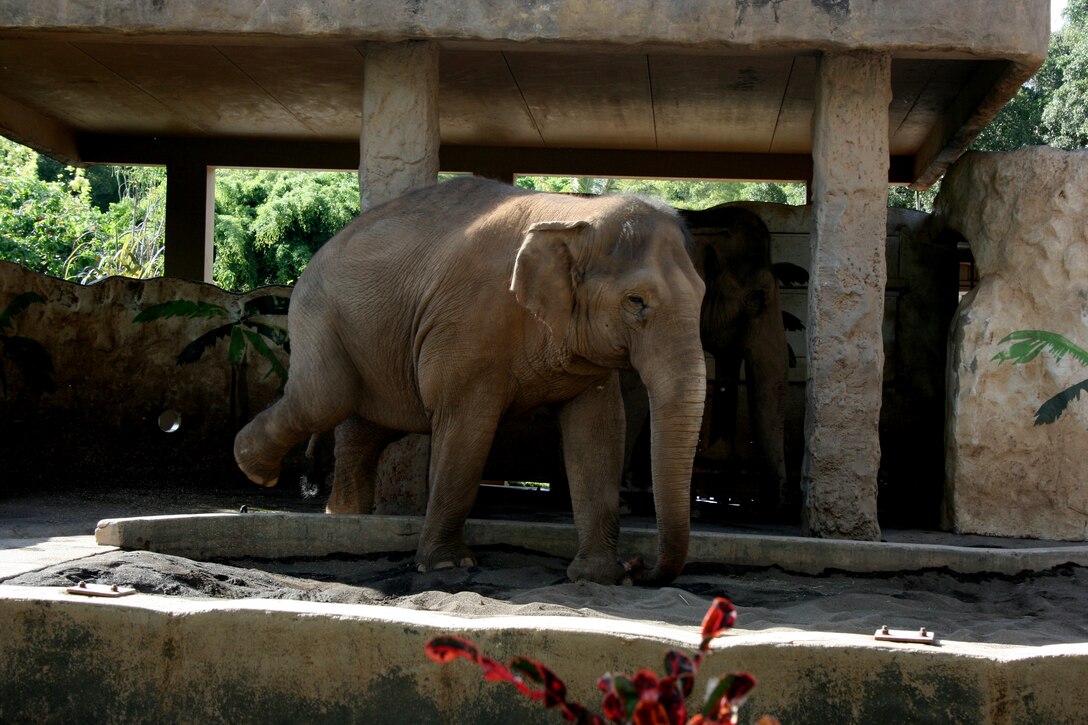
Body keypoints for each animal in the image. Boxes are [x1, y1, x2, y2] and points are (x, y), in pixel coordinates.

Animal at [235, 177, 709, 583]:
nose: (639, 566)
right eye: (636, 301)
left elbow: (599, 432)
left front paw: (598, 578)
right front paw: (447, 566)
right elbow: (467, 427)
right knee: (325, 397)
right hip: (318, 311)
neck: (575, 215)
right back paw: (256, 471)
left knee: (363, 426)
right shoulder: (466, 325)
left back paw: (344, 515)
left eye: (703, 295)